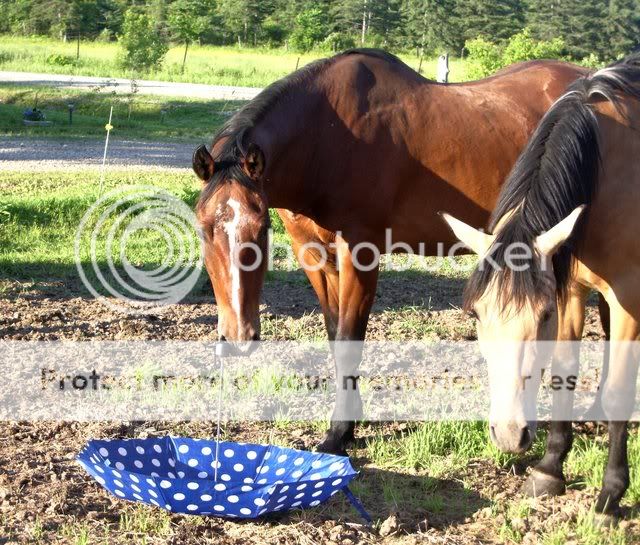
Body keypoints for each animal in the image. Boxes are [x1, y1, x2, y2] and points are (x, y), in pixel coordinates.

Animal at [192, 49, 588, 452]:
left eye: (261, 228)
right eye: (204, 229)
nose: (238, 338)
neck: (324, 139)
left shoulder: (359, 253)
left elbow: (349, 339)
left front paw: (338, 432)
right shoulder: (314, 255)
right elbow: (334, 334)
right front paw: (350, 421)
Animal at [442, 52, 640, 520]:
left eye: (543, 314)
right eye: (476, 314)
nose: (509, 434)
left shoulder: (627, 298)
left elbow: (621, 389)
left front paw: (610, 494)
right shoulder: (574, 290)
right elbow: (564, 372)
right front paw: (550, 469)